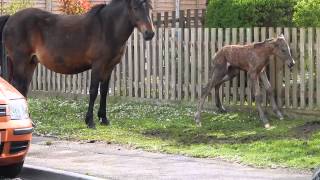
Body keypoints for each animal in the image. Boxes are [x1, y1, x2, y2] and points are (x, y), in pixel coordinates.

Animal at [0, 0, 155, 129]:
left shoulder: (109, 67)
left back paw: (31, 122)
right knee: (18, 87)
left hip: (30, 62)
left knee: (23, 88)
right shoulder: (98, 65)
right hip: (20, 61)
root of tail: (11, 18)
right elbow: (93, 91)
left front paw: (104, 119)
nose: (150, 33)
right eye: (135, 8)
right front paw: (90, 121)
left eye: (150, 8)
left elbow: (104, 92)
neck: (107, 28)